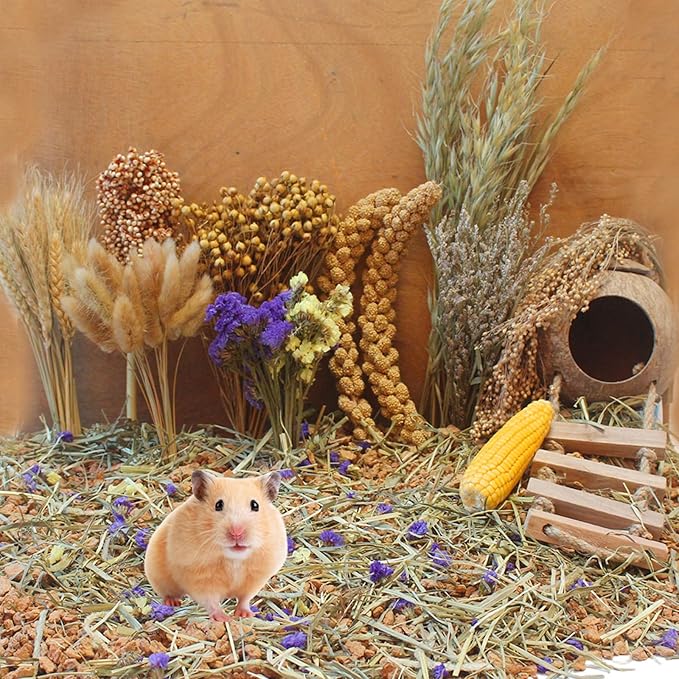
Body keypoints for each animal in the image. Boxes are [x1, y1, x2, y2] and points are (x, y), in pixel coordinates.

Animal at [144, 470, 287, 621]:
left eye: (255, 505)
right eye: (218, 505)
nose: (236, 533)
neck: (234, 559)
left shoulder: (256, 578)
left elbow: (245, 599)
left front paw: (246, 614)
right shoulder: (199, 578)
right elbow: (211, 601)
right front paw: (224, 618)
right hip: (158, 576)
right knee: (167, 593)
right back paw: (172, 603)